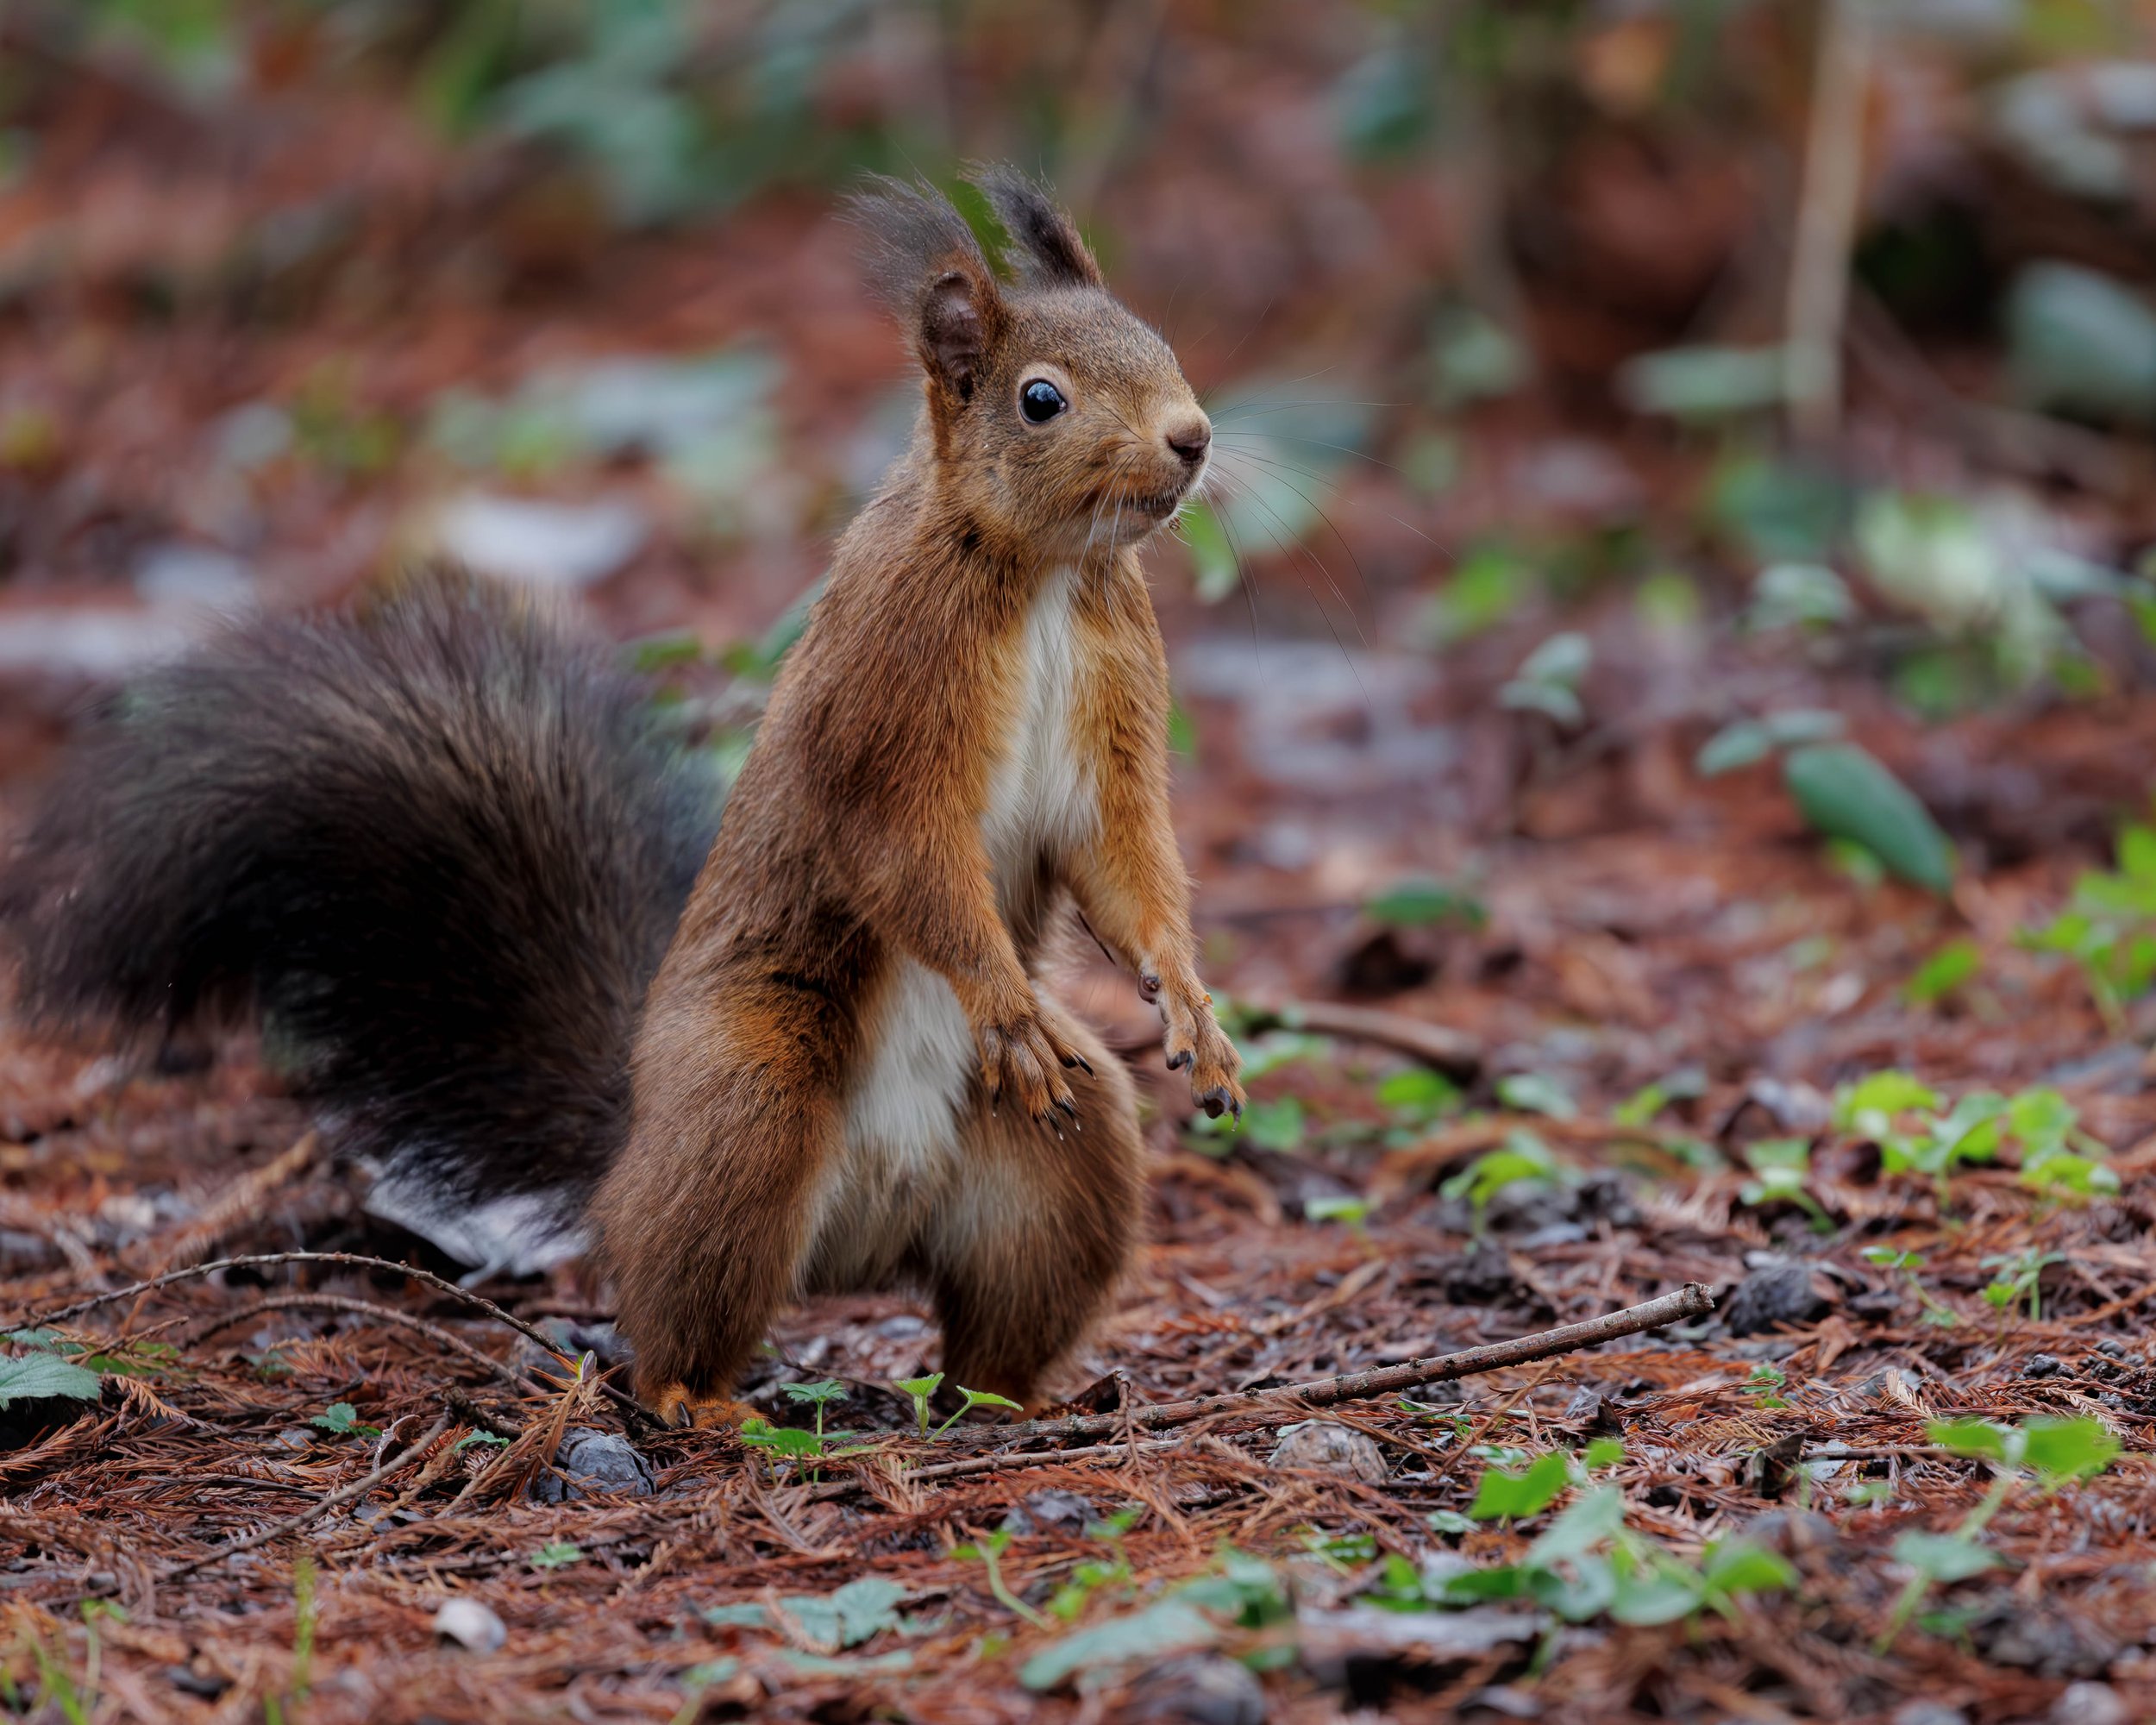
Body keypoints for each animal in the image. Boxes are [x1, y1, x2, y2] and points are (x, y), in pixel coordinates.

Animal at [1, 166, 1245, 1425]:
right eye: (1042, 399)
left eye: (1160, 342)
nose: (1191, 438)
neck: (1041, 574)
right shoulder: (882, 698)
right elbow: (899, 851)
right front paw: (1003, 996)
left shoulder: (1112, 704)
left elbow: (1123, 856)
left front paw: (1190, 1002)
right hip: (748, 1100)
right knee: (673, 1304)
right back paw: (703, 1395)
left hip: (1060, 1165)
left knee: (1005, 1297)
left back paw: (1019, 1401)